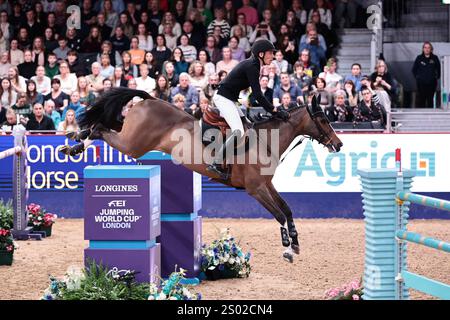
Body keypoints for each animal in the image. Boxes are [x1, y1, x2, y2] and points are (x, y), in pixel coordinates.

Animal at [67, 88, 342, 262]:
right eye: (324, 120)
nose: (338, 145)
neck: (266, 139)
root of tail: (148, 99)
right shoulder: (255, 189)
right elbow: (278, 214)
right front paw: (287, 249)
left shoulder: (267, 184)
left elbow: (287, 209)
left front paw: (295, 243)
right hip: (132, 144)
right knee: (100, 128)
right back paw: (75, 143)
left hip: (130, 136)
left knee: (105, 125)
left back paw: (74, 144)